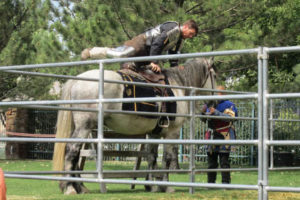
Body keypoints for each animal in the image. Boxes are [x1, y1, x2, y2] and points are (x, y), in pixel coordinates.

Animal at [51, 57, 216, 194]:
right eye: (214, 75)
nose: (214, 103)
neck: (178, 86)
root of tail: (76, 80)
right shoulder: (172, 133)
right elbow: (167, 158)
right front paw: (166, 186)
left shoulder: (154, 134)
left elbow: (152, 157)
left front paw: (151, 186)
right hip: (84, 127)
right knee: (72, 150)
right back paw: (70, 188)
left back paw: (80, 187)